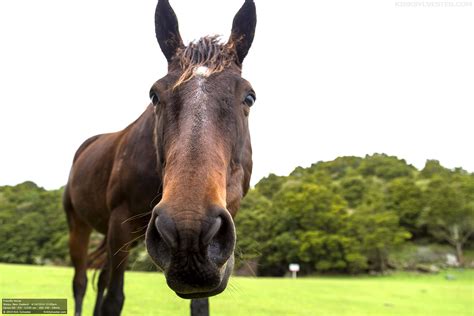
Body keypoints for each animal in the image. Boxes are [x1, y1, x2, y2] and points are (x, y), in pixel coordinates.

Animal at [62, 1, 256, 314]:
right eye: (154, 95)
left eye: (249, 97)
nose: (188, 233)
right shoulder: (120, 225)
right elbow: (114, 299)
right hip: (79, 226)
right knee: (80, 282)